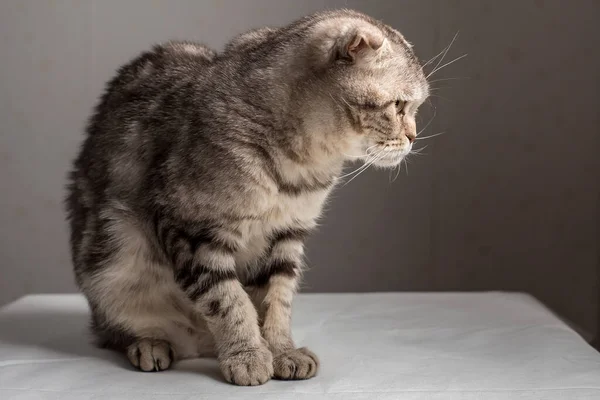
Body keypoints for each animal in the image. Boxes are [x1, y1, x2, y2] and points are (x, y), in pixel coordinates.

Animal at [65, 8, 428, 384]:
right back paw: (151, 343)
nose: (414, 136)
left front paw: (281, 350)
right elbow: (228, 299)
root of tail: (197, 343)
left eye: (415, 107)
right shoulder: (193, 231)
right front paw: (247, 354)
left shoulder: (287, 236)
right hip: (114, 254)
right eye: (399, 105)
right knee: (117, 328)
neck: (301, 169)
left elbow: (277, 300)